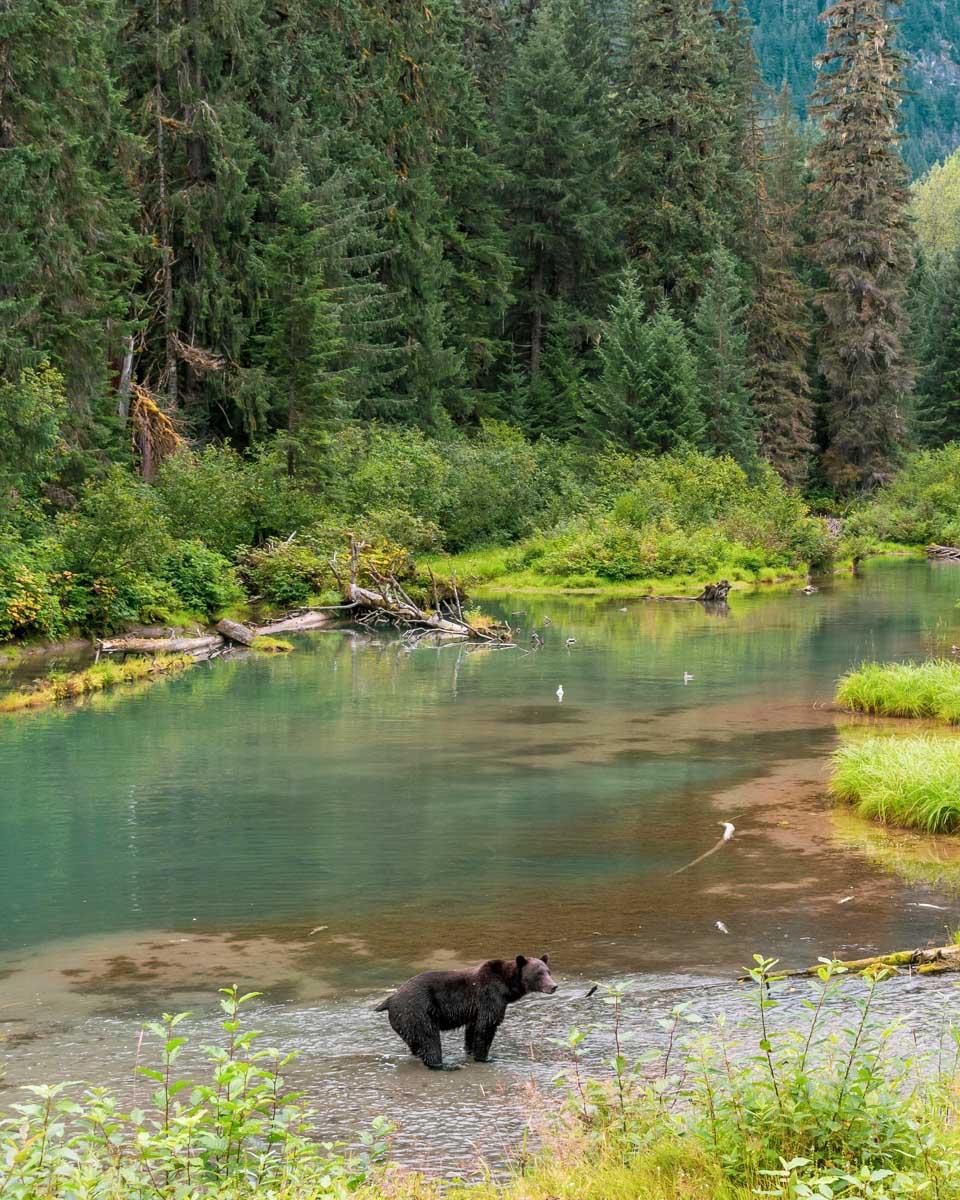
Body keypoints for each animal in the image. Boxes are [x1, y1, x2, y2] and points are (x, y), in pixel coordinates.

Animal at [375, 954, 557, 1069]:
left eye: (548, 971)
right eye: (539, 973)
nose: (554, 986)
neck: (507, 987)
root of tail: (390, 1000)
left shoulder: (475, 1010)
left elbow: (472, 1030)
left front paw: (470, 1051)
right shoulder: (489, 997)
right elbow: (486, 1027)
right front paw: (485, 1058)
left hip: (406, 1021)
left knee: (416, 1043)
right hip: (417, 1012)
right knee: (429, 1041)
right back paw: (444, 1066)